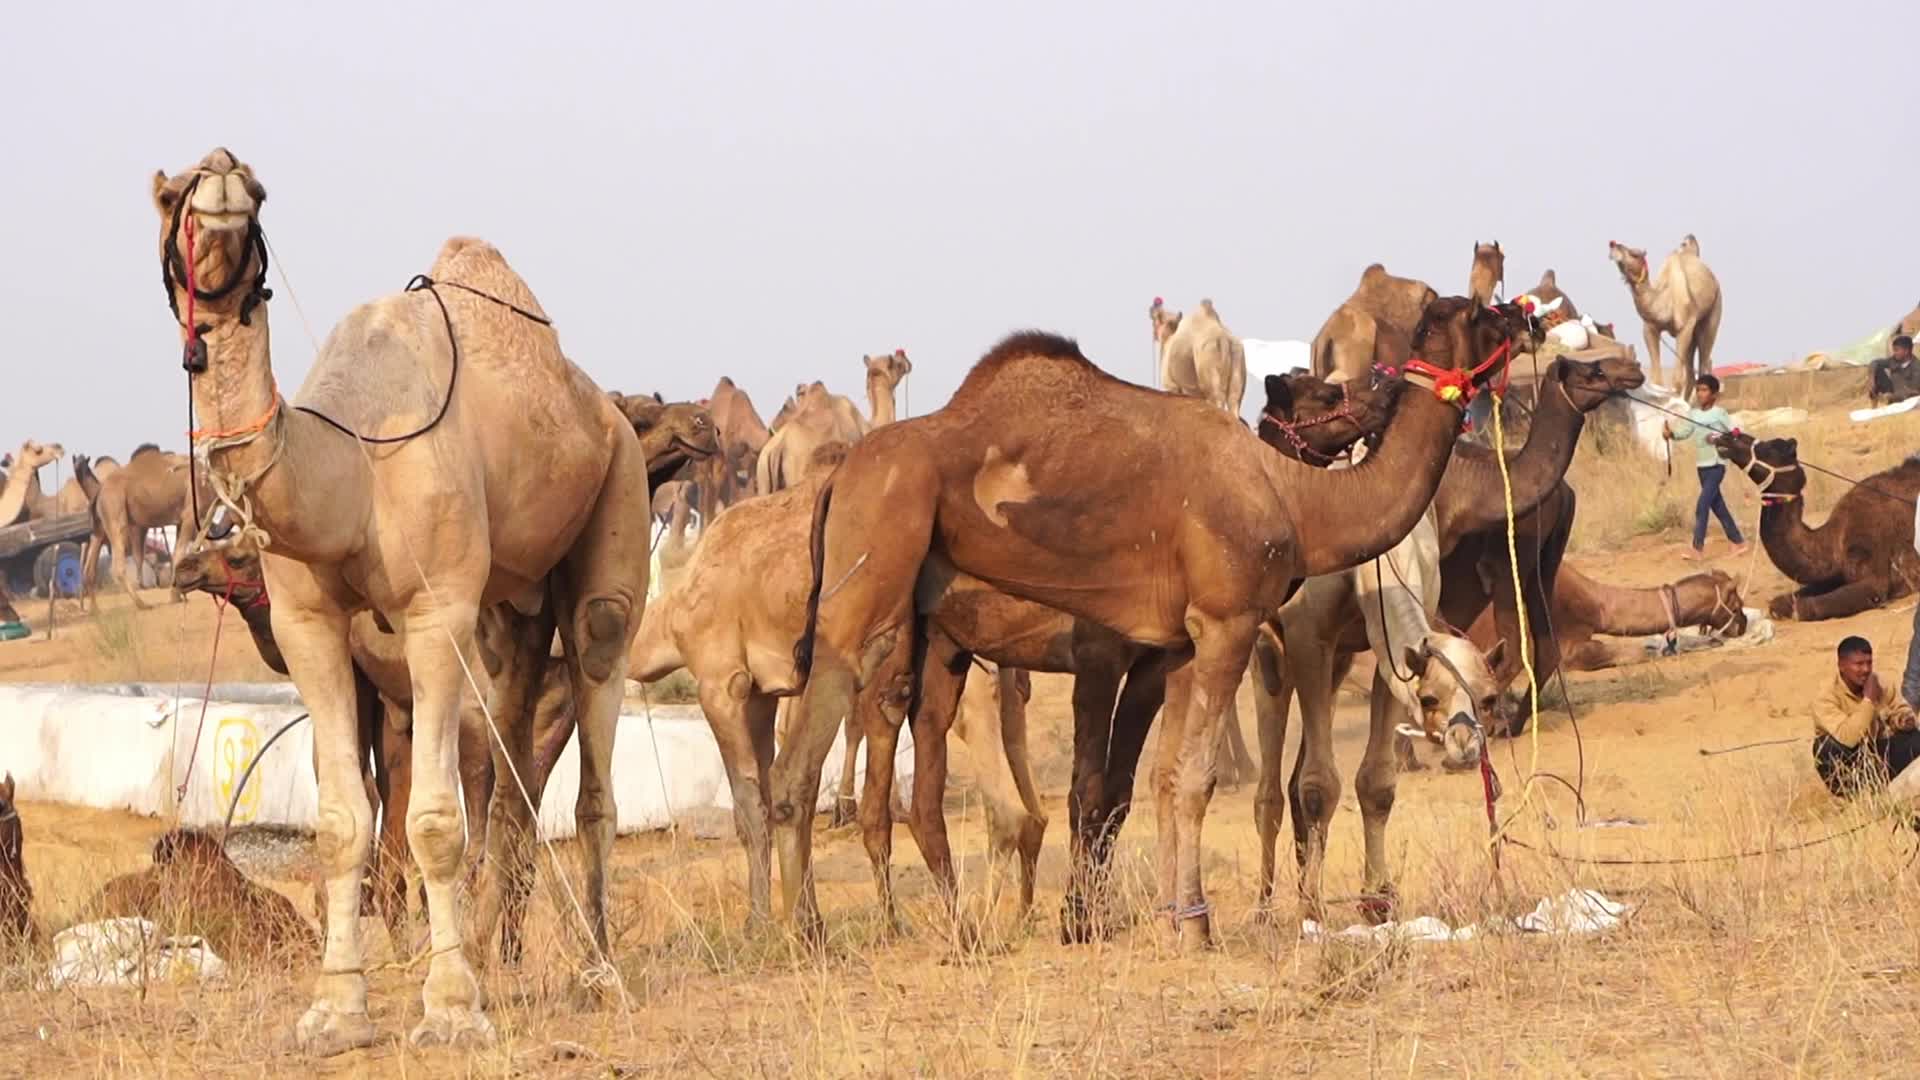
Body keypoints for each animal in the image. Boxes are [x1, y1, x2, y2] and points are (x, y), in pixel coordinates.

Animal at [152, 149, 650, 1053]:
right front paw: (335, 1012)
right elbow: (342, 820)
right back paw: (496, 963)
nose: (222, 175)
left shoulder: (434, 611)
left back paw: (597, 974)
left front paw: (449, 1012)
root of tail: (604, 408)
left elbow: (432, 821)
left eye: (258, 191)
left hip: (618, 492)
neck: (348, 464)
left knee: (595, 714)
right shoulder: (307, 624)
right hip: (508, 606)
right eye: (171, 194)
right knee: (516, 755)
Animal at [1252, 505, 1507, 922]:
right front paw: (1311, 909)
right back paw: (1264, 908)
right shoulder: (1308, 633)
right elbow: (1320, 785)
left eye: (1489, 698)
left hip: (1339, 659)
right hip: (1266, 648)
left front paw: (1377, 901)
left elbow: (1377, 784)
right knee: (1269, 788)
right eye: (1430, 699)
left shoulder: (1388, 648)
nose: (1465, 745)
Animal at [1609, 236, 1723, 392]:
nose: (1613, 244)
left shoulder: (1684, 328)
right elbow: (1657, 380)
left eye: (1635, 254)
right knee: (1691, 375)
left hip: (1714, 312)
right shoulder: (1650, 328)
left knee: (1703, 363)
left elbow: (1677, 380)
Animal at [1716, 435, 1920, 621]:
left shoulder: (1874, 576)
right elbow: (1780, 602)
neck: (1834, 540)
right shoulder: (1836, 574)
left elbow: (1806, 607)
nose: (1726, 438)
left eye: (1771, 447)